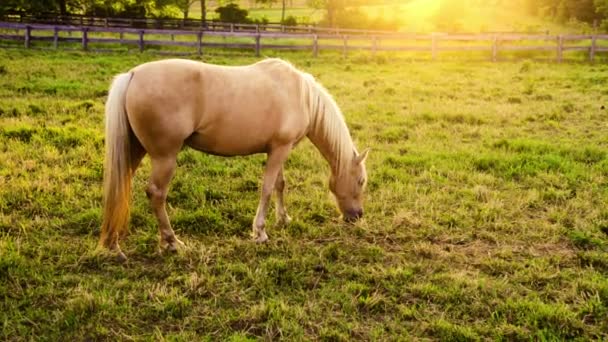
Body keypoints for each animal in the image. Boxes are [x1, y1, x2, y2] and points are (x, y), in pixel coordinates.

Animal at [98, 58, 370, 260]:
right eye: (361, 181)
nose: (357, 216)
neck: (301, 96)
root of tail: (132, 75)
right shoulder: (280, 149)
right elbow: (267, 188)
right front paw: (260, 232)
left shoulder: (279, 149)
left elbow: (280, 185)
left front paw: (283, 219)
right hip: (165, 158)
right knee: (156, 194)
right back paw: (171, 241)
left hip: (135, 151)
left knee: (120, 188)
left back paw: (113, 244)